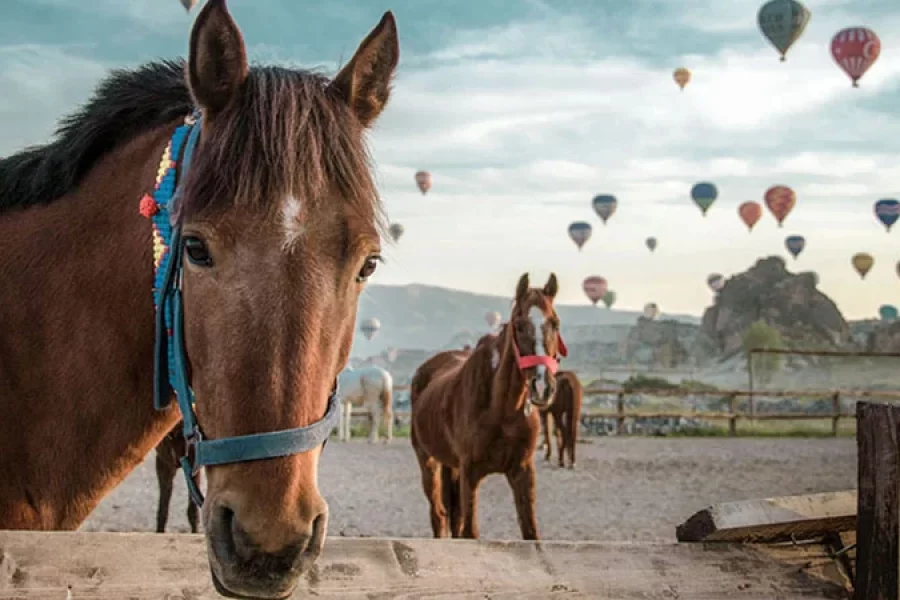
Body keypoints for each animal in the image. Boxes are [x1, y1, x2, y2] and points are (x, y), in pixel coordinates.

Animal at [410, 272, 568, 540]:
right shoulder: (470, 473)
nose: (542, 386)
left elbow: (530, 533)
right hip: (428, 461)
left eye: (555, 323)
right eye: (519, 325)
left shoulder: (522, 471)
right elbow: (470, 531)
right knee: (439, 515)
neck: (501, 408)